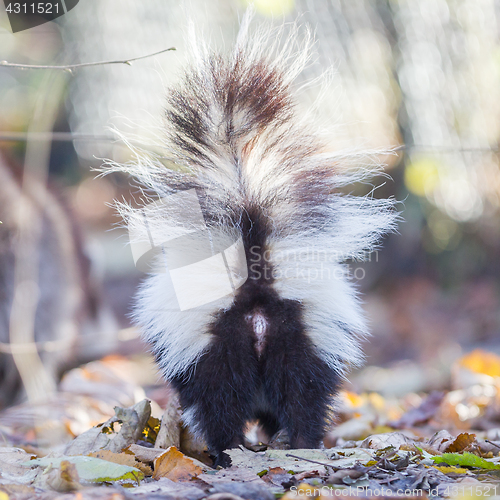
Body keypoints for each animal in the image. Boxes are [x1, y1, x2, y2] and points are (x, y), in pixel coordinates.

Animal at [106, 15, 398, 468]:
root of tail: (257, 292)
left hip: (217, 348)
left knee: (220, 403)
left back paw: (227, 452)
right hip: (303, 340)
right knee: (303, 397)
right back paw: (301, 444)